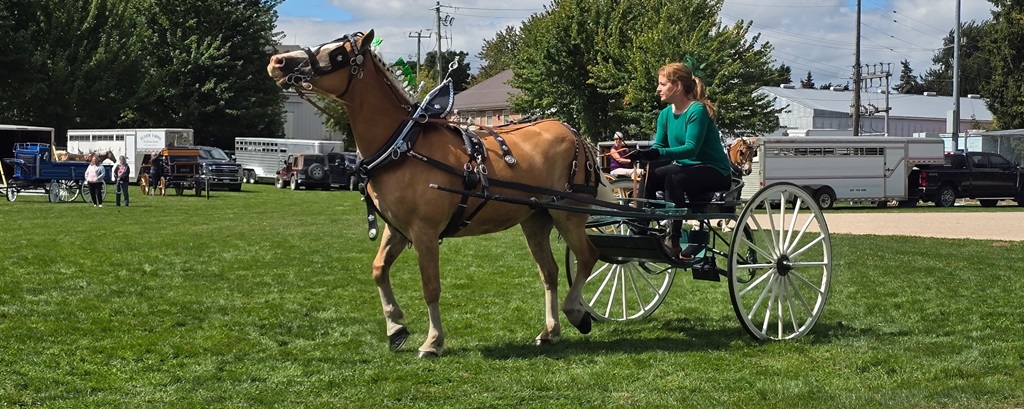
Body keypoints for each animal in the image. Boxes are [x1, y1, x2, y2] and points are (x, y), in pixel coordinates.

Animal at [267, 30, 612, 357]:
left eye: (336, 53)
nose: (277, 61)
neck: (403, 146)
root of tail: (574, 133)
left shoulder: (425, 231)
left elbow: (430, 286)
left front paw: (432, 341)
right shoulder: (397, 229)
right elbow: (379, 270)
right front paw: (396, 328)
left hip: (567, 214)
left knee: (587, 256)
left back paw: (575, 312)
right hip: (536, 219)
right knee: (550, 273)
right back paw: (550, 331)